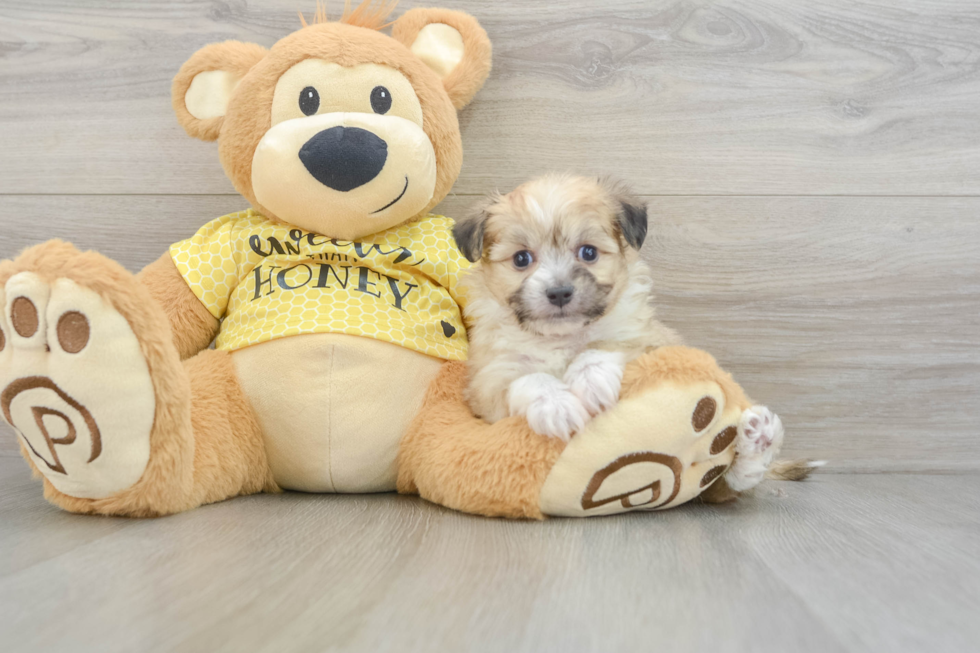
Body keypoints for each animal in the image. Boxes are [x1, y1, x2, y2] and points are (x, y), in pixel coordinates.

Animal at [454, 173, 676, 438]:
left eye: (589, 252)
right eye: (521, 258)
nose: (559, 293)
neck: (559, 338)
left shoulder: (649, 341)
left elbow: (604, 345)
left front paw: (592, 378)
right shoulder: (488, 382)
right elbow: (528, 378)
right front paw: (555, 406)